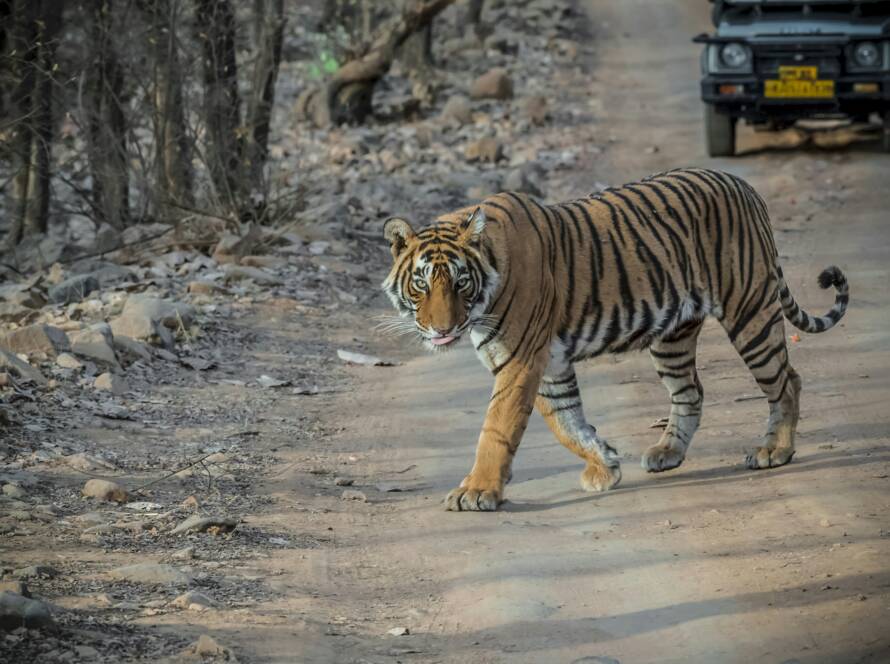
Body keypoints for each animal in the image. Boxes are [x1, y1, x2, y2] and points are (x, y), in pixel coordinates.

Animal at [380, 167, 849, 512]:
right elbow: (567, 422)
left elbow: (497, 428)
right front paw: (604, 464)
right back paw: (667, 452)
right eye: (422, 283)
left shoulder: (520, 360)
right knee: (691, 392)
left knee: (787, 381)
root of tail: (745, 185)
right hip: (673, 337)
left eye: (460, 282)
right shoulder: (548, 364)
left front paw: (477, 491)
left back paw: (775, 451)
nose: (442, 330)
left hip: (750, 311)